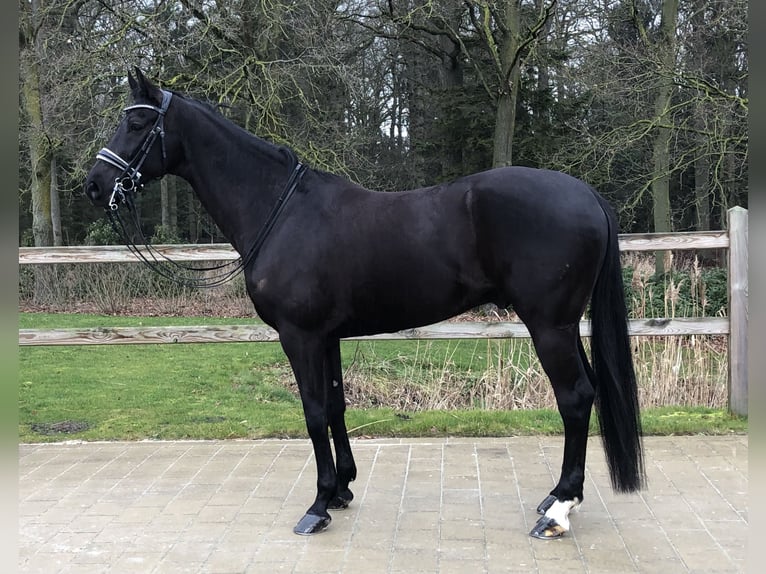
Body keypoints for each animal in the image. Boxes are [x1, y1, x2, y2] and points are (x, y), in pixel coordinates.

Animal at [85, 68, 644, 539]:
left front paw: (316, 506)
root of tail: (587, 195)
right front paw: (342, 489)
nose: (94, 185)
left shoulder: (300, 337)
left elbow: (313, 412)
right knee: (588, 391)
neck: (281, 209)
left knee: (575, 397)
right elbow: (335, 405)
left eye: (137, 122)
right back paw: (559, 497)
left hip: (548, 326)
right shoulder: (327, 336)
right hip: (565, 326)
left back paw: (558, 510)